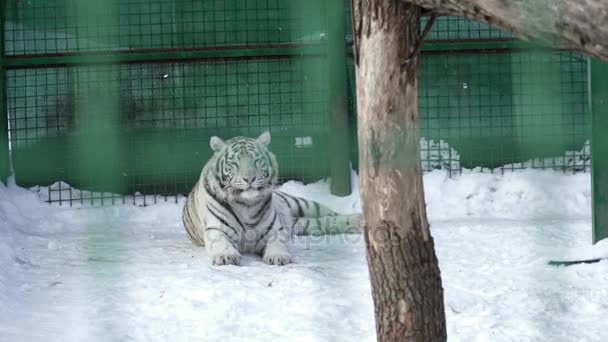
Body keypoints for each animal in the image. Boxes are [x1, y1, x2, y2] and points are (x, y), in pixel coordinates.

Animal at [180, 132, 360, 266]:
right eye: (234, 163)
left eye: (256, 160)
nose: (249, 179)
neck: (246, 204)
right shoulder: (217, 230)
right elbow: (221, 242)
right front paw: (226, 257)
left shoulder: (275, 230)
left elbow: (278, 243)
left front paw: (278, 257)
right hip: (300, 223)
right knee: (322, 223)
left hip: (300, 204)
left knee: (331, 214)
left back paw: (358, 220)